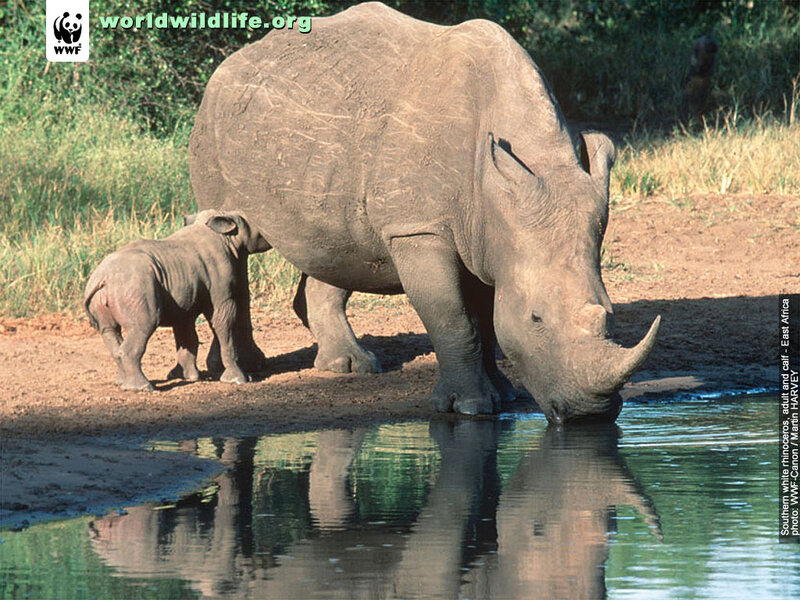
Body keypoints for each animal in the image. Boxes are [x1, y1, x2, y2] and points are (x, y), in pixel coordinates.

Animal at [188, 2, 660, 423]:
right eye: (536, 318)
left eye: (610, 315)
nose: (589, 414)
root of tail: (231, 63)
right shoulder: (419, 230)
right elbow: (453, 316)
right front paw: (469, 407)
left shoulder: (488, 233)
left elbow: (485, 318)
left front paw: (503, 395)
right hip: (214, 122)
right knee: (233, 240)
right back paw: (250, 370)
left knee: (333, 240)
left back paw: (350, 367)